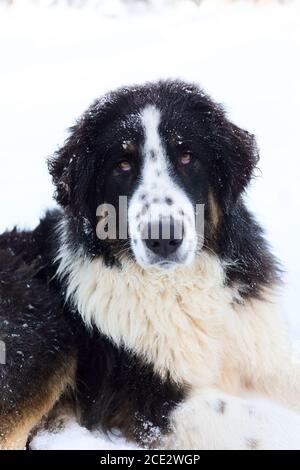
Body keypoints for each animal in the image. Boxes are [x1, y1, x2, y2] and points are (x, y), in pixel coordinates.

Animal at [0, 79, 300, 450]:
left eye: (186, 156)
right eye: (122, 165)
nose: (164, 237)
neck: (181, 287)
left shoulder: (260, 351)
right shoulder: (151, 400)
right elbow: (265, 421)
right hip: (45, 329)